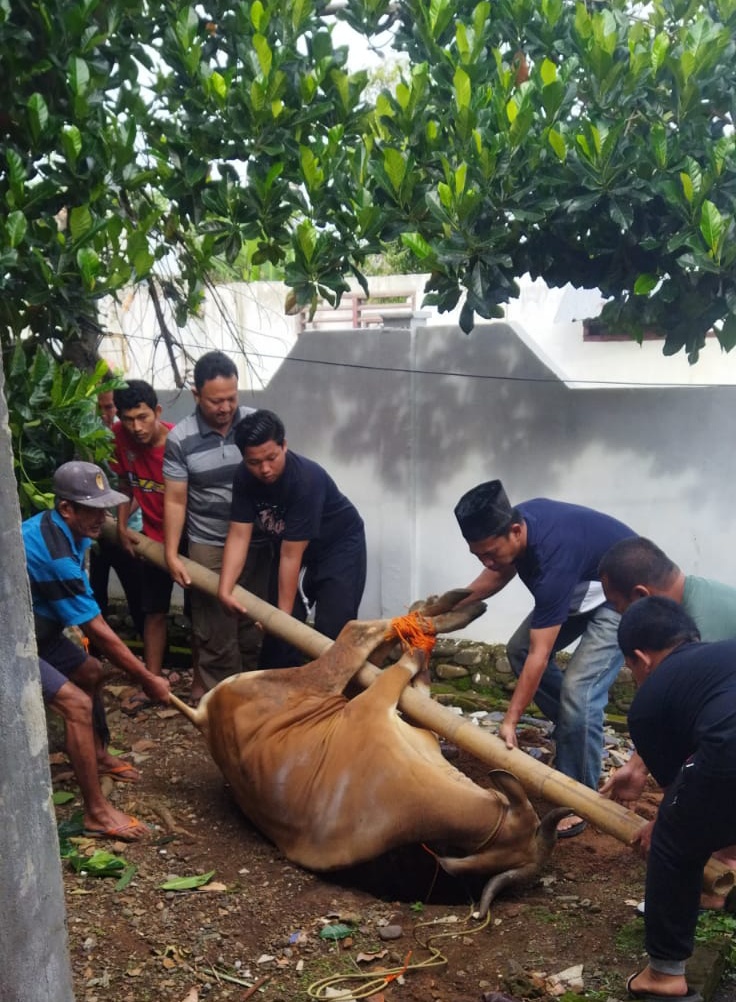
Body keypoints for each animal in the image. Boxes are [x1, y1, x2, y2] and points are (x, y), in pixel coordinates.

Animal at [174, 589, 568, 917]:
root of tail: (204, 714)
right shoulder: (375, 703)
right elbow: (405, 666)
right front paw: (419, 650)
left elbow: (420, 685)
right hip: (323, 680)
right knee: (358, 629)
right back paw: (447, 615)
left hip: (340, 689)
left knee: (378, 636)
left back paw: (443, 609)